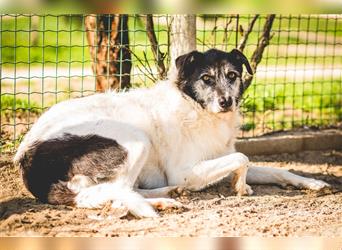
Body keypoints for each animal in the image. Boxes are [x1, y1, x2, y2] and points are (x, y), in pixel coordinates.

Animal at [13, 48, 328, 217]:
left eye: (232, 75)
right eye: (206, 78)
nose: (226, 102)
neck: (198, 109)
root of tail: (26, 157)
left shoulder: (221, 154)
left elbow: (274, 168)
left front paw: (311, 182)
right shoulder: (184, 170)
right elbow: (243, 159)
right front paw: (240, 186)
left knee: (122, 189)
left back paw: (167, 194)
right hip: (136, 139)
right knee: (120, 191)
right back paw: (162, 200)